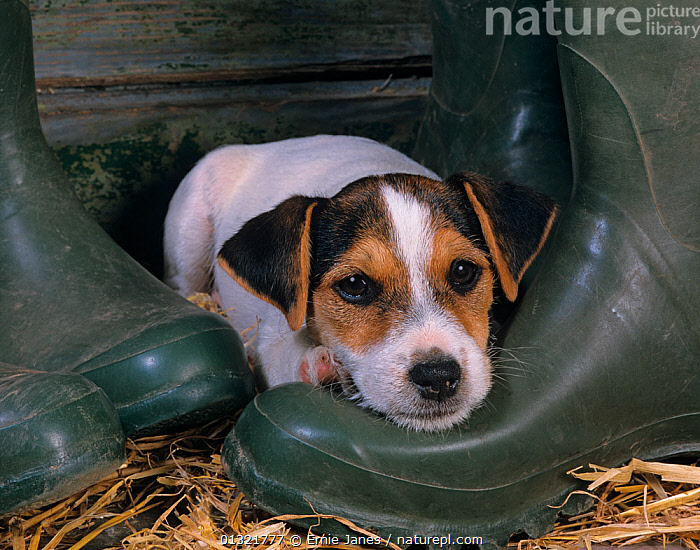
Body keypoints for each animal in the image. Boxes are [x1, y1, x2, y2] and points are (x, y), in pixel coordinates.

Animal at [164, 136, 556, 434]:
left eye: (462, 271)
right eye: (354, 284)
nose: (438, 376)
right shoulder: (274, 337)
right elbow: (285, 360)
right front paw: (319, 367)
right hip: (188, 236)